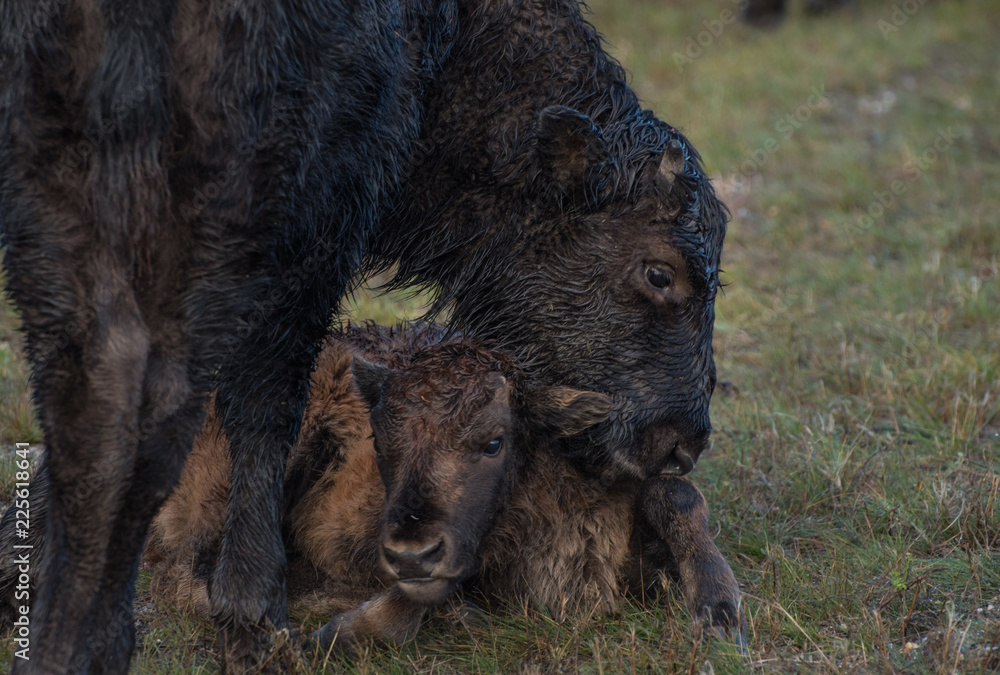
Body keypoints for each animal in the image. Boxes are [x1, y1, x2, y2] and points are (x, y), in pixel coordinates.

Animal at [0, 0, 736, 672]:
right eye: (660, 272)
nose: (680, 440)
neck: (452, 48)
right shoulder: (313, 230)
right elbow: (264, 403)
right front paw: (255, 616)